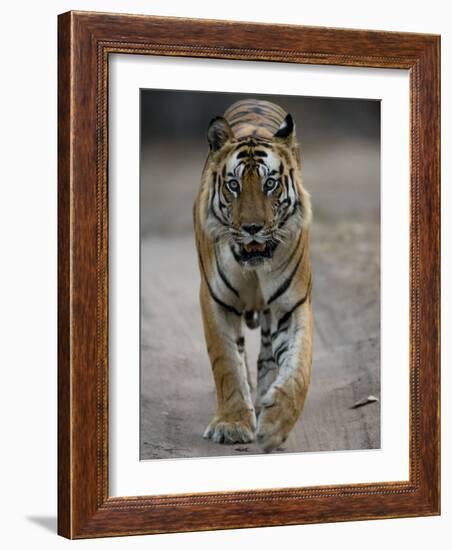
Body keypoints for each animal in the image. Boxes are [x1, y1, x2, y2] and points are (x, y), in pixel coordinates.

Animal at [192, 99, 312, 452]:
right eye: (234, 185)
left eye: (269, 183)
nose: (252, 228)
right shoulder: (215, 301)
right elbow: (227, 365)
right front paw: (232, 424)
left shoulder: (293, 305)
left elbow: (298, 368)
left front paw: (276, 423)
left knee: (270, 356)